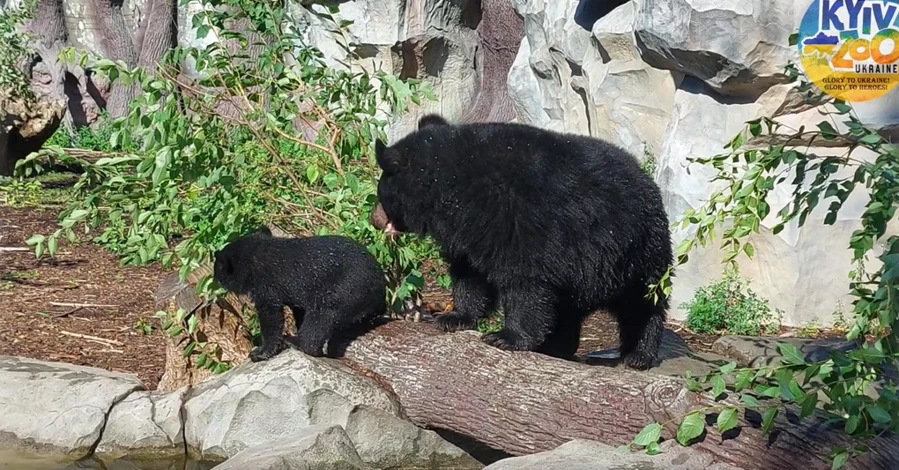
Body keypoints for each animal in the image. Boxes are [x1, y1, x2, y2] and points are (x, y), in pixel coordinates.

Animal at [217, 228, 390, 364]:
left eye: (217, 270)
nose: (216, 278)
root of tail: (381, 285)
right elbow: (298, 309)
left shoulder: (265, 284)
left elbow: (270, 315)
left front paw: (259, 352)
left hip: (346, 289)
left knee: (321, 317)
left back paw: (295, 341)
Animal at [370, 114, 672, 370]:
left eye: (381, 191)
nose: (374, 218)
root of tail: (647, 180)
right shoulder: (472, 235)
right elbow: (470, 275)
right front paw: (453, 317)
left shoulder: (519, 220)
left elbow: (525, 281)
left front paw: (505, 337)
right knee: (570, 309)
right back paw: (557, 346)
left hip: (634, 250)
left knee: (642, 303)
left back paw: (638, 354)